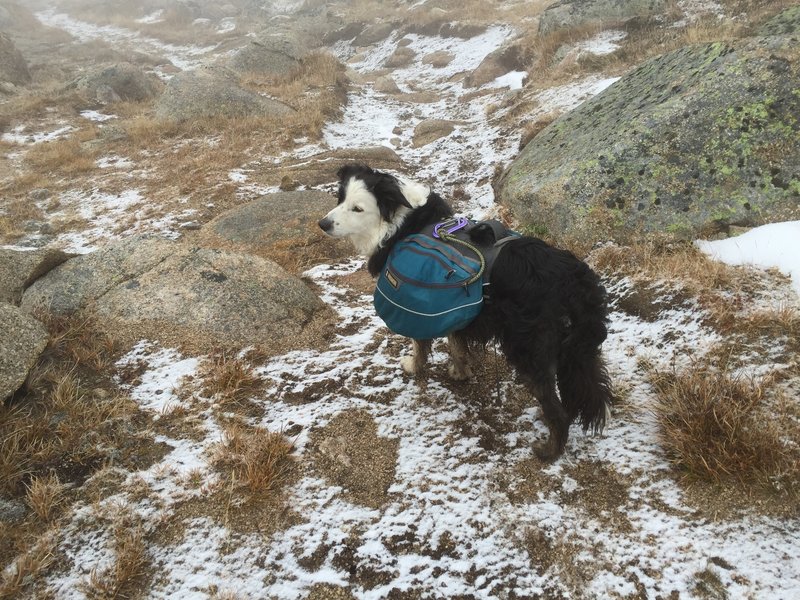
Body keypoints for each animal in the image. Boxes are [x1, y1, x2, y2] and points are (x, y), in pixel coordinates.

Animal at [318, 164, 612, 460]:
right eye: (340, 198)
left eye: (357, 208)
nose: (323, 224)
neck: (401, 224)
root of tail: (572, 278)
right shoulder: (452, 306)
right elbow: (456, 343)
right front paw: (460, 372)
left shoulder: (418, 305)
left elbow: (420, 344)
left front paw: (413, 366)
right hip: (576, 352)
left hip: (529, 350)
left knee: (556, 408)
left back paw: (549, 449)